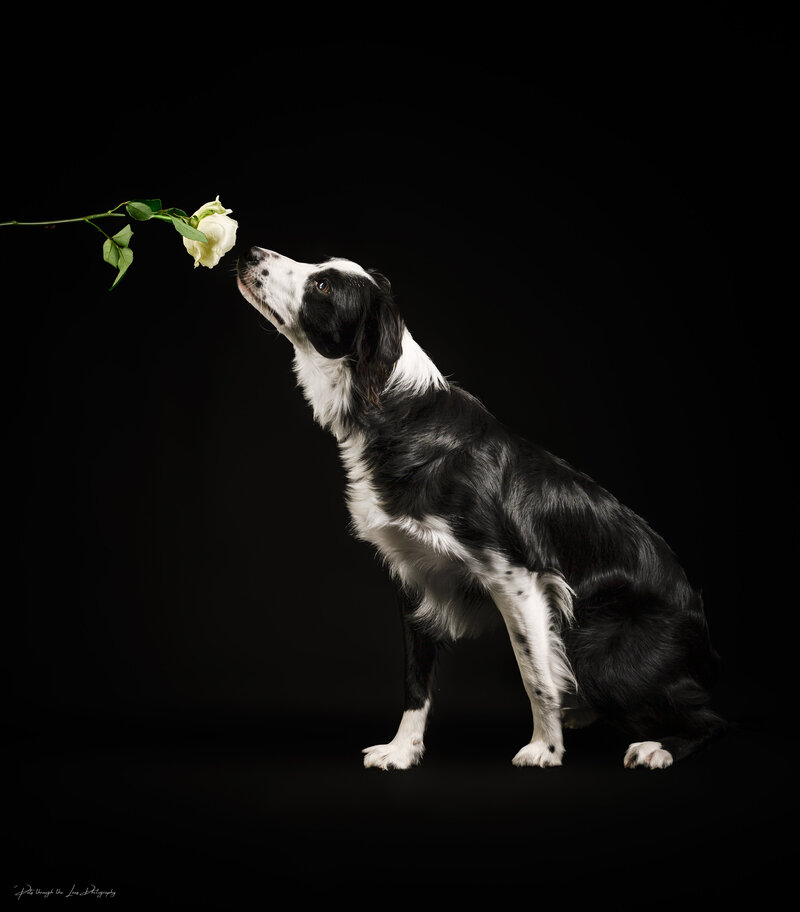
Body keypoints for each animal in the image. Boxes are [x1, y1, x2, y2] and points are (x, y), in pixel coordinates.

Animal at [234, 248, 720, 768]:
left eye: (323, 286)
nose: (249, 252)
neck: (393, 410)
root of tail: (704, 634)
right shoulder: (413, 577)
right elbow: (415, 680)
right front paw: (402, 750)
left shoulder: (519, 578)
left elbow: (534, 673)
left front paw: (544, 749)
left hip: (598, 643)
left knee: (709, 717)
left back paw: (654, 746)